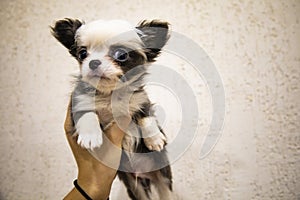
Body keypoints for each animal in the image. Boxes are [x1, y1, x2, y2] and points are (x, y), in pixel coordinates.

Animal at [51, 18, 172, 199]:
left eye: (121, 55)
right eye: (82, 54)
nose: (93, 62)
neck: (110, 94)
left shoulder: (140, 99)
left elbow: (146, 117)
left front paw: (155, 139)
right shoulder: (78, 101)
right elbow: (87, 114)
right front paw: (90, 136)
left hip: (163, 177)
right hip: (134, 186)